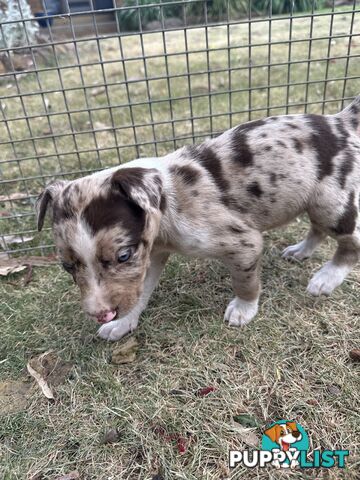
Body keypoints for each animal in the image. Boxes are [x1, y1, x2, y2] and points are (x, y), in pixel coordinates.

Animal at [35, 95, 360, 340]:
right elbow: (139, 292)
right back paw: (301, 251)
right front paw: (121, 324)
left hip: (331, 202)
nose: (101, 314)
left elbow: (245, 282)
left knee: (349, 242)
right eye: (66, 266)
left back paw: (327, 278)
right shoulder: (151, 256)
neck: (168, 206)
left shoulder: (244, 243)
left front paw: (243, 310)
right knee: (317, 229)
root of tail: (341, 120)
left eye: (123, 256)